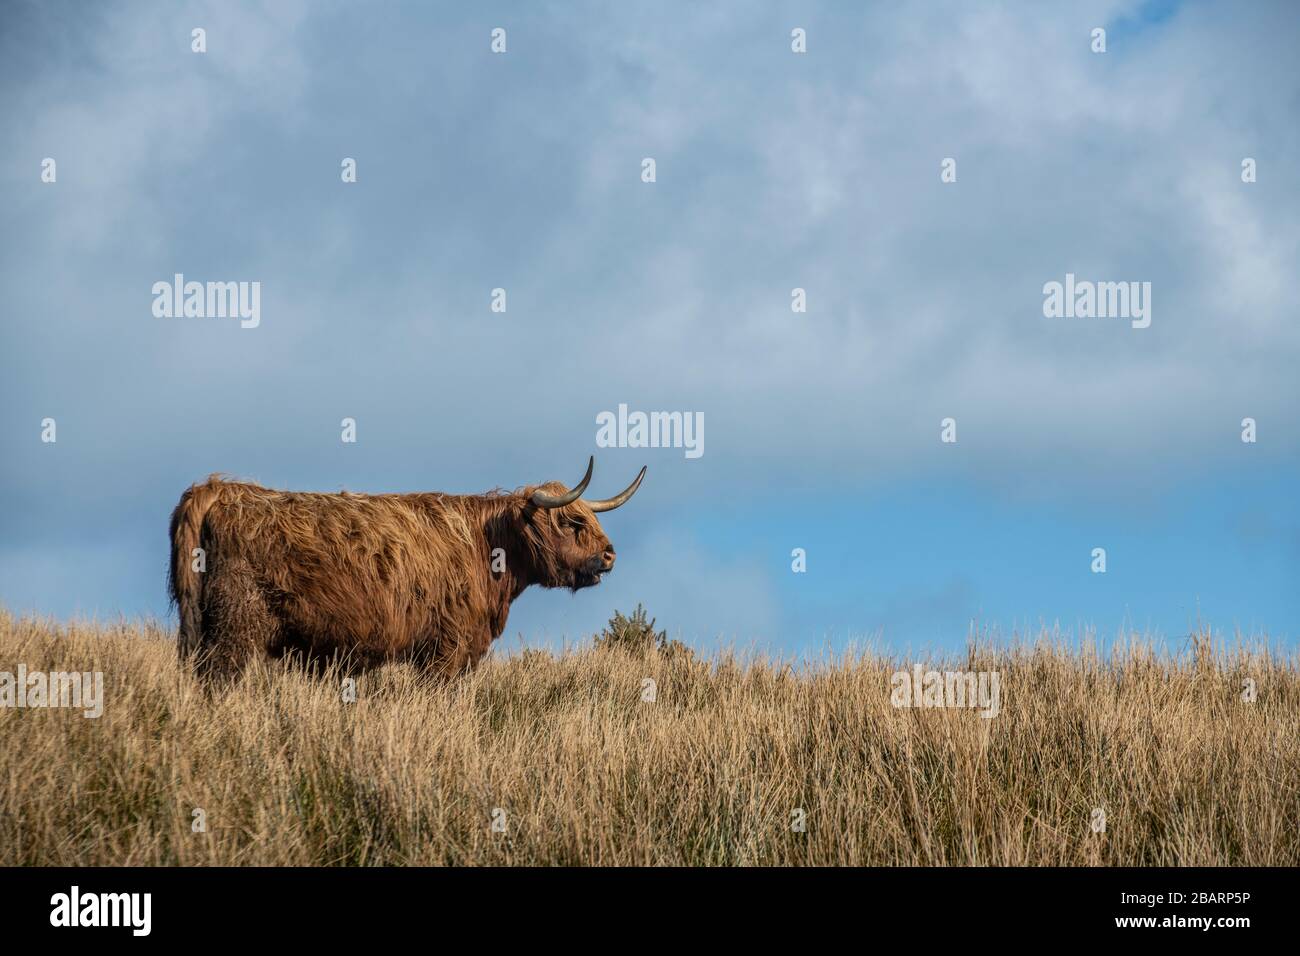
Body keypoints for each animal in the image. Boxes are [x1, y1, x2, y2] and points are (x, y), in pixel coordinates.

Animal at [168, 458, 645, 685]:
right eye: (572, 522)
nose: (609, 555)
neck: (488, 549)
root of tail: (219, 489)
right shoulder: (446, 649)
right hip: (235, 626)